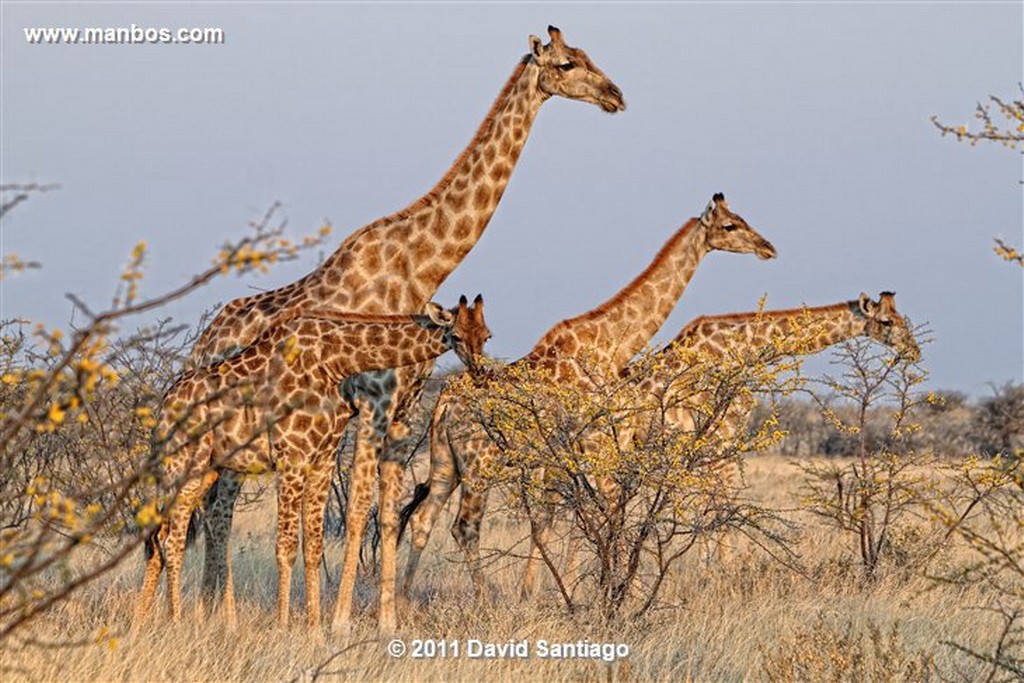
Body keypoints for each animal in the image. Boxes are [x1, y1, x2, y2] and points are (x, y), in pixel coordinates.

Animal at [133, 296, 491, 634]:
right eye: (457, 335)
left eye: (486, 335)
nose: (479, 373)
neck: (332, 361)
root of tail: (163, 408)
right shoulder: (291, 457)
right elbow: (286, 545)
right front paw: (283, 627)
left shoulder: (322, 458)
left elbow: (314, 546)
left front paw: (316, 628)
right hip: (183, 466)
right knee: (173, 540)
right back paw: (176, 621)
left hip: (204, 472)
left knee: (163, 535)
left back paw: (146, 620)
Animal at [188, 28, 626, 634]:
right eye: (566, 64)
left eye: (588, 57)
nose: (616, 96)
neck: (418, 267)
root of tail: (203, 340)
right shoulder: (372, 405)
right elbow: (355, 516)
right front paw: (340, 622)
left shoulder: (400, 414)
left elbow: (389, 516)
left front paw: (387, 621)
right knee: (218, 509)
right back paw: (221, 615)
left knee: (214, 507)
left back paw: (215, 609)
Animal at [397, 193, 774, 598]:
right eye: (729, 226)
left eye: (741, 218)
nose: (768, 247)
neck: (611, 344)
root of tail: (445, 403)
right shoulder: (593, 443)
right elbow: (602, 513)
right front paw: (608, 592)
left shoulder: (580, 451)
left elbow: (569, 516)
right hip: (479, 464)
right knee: (464, 527)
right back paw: (483, 599)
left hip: (445, 463)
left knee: (423, 518)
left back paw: (401, 599)